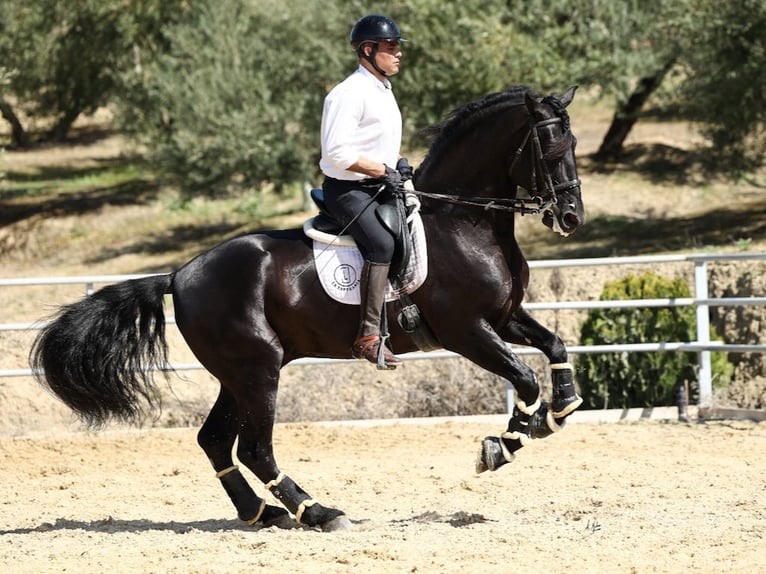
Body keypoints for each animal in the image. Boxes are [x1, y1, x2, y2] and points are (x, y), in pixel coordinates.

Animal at [28, 84, 584, 532]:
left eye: (574, 145)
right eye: (552, 147)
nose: (571, 217)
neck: (463, 222)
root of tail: (179, 275)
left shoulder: (505, 316)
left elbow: (555, 348)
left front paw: (554, 412)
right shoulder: (466, 330)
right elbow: (524, 379)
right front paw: (501, 445)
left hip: (238, 373)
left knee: (215, 441)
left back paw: (262, 513)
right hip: (258, 369)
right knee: (255, 448)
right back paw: (318, 512)